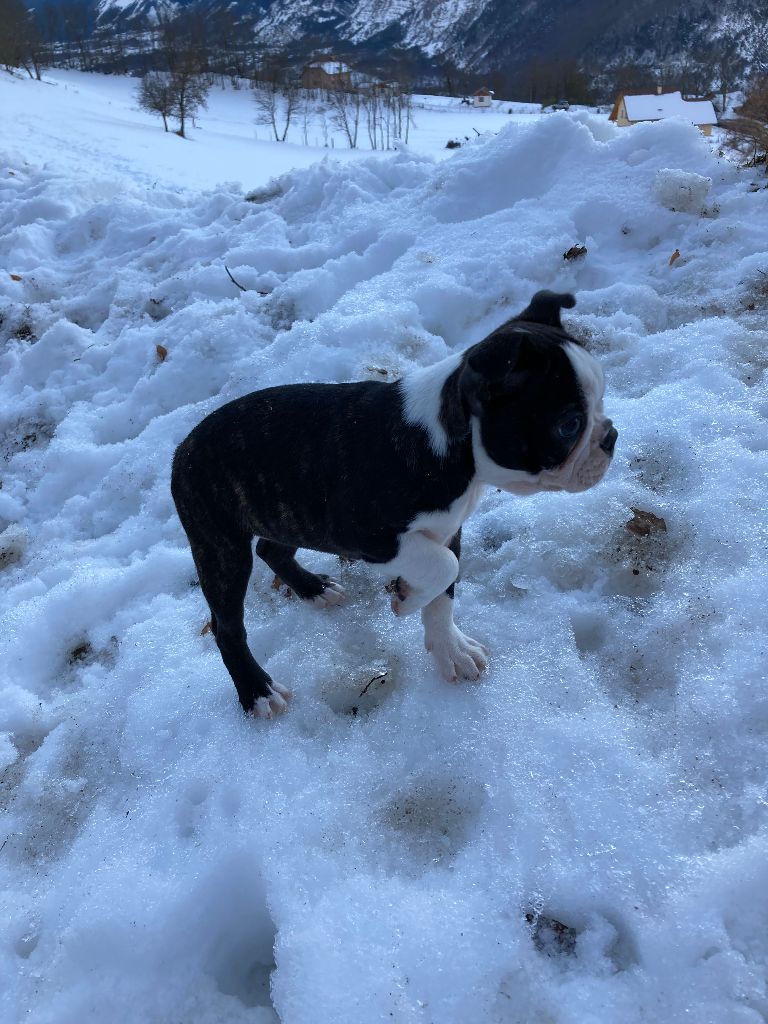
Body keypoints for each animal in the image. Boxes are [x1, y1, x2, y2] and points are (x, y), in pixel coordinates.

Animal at [171, 292, 618, 716]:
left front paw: (450, 649)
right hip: (220, 545)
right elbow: (444, 567)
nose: (611, 435)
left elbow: (444, 592)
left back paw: (313, 589)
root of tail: (183, 448)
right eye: (569, 425)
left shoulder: (447, 528)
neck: (452, 445)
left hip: (286, 514)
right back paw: (257, 691)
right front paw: (407, 598)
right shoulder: (365, 535)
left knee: (272, 549)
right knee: (227, 625)